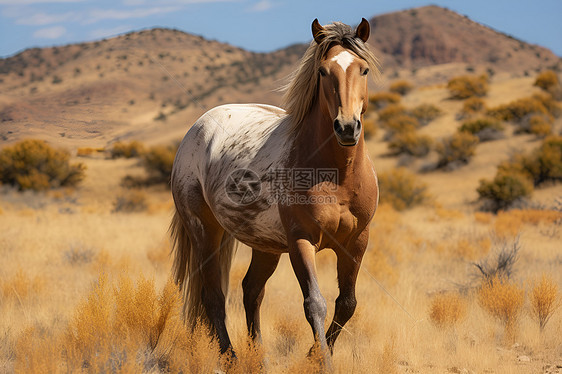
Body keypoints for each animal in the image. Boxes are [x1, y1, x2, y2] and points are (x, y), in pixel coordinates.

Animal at [168, 18, 378, 366]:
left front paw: (314, 357)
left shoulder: (356, 241)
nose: (347, 128)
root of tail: (196, 128)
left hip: (264, 245)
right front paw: (321, 361)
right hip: (205, 232)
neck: (337, 175)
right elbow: (315, 304)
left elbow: (347, 304)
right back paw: (231, 358)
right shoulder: (300, 241)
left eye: (363, 69)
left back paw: (259, 359)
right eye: (323, 71)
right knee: (213, 296)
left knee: (251, 291)